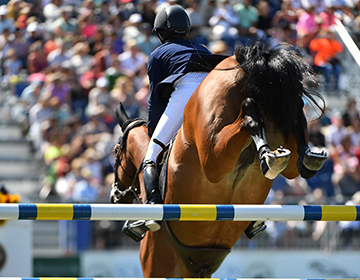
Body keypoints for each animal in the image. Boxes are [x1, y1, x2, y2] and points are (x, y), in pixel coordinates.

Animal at [111, 41, 328, 278]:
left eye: (116, 152)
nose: (115, 196)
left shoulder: (155, 265)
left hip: (213, 159)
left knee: (246, 121)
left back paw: (252, 112)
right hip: (281, 137)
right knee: (293, 144)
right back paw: (294, 157)